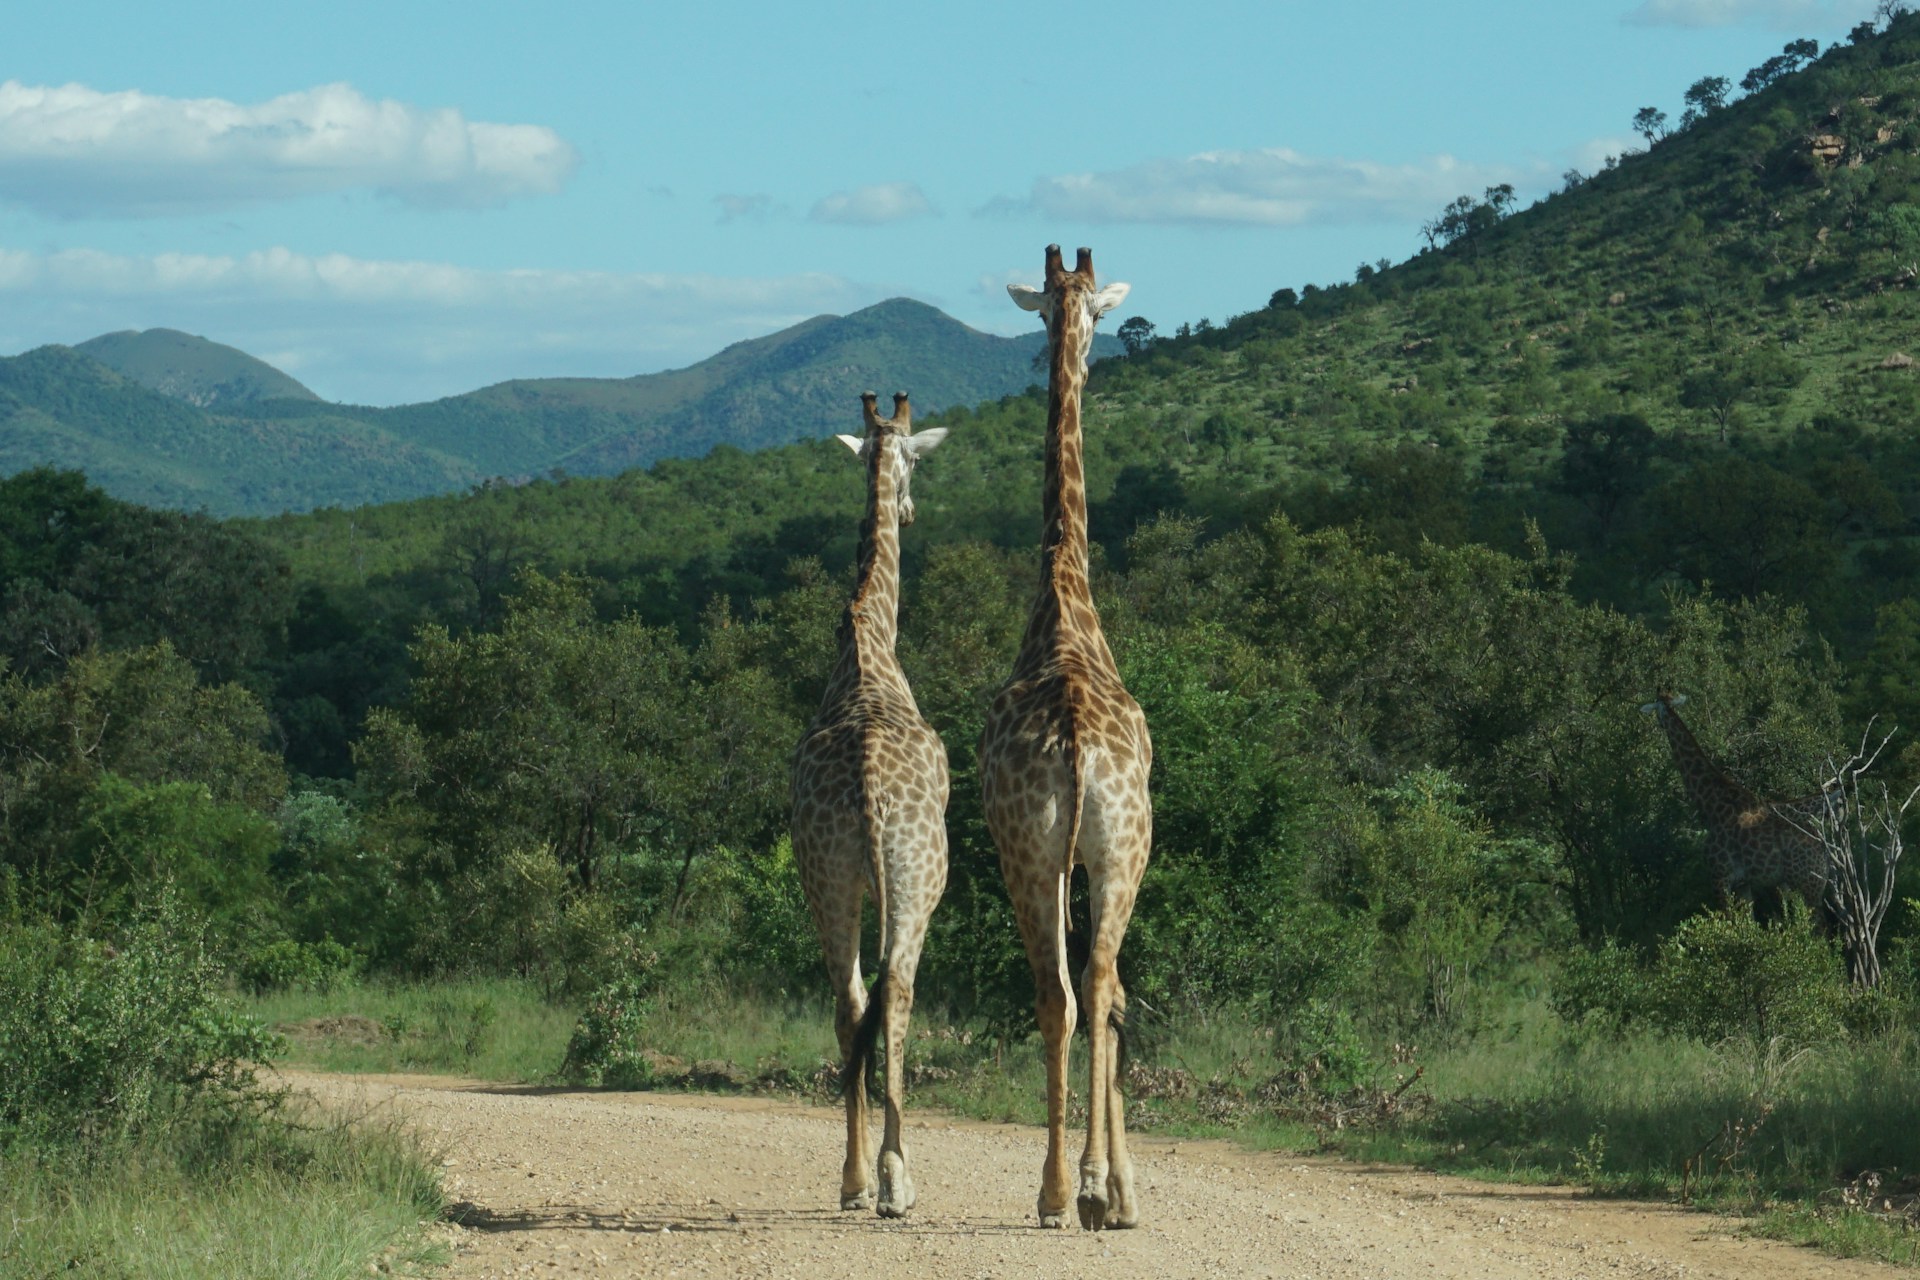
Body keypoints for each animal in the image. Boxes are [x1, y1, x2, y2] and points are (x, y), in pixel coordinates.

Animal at [1635, 694, 1827, 917]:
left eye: (1656, 710)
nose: (1658, 724)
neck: (1711, 803)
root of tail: (1823, 846)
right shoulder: (1743, 883)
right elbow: (1748, 921)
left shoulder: (1720, 877)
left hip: (1807, 883)